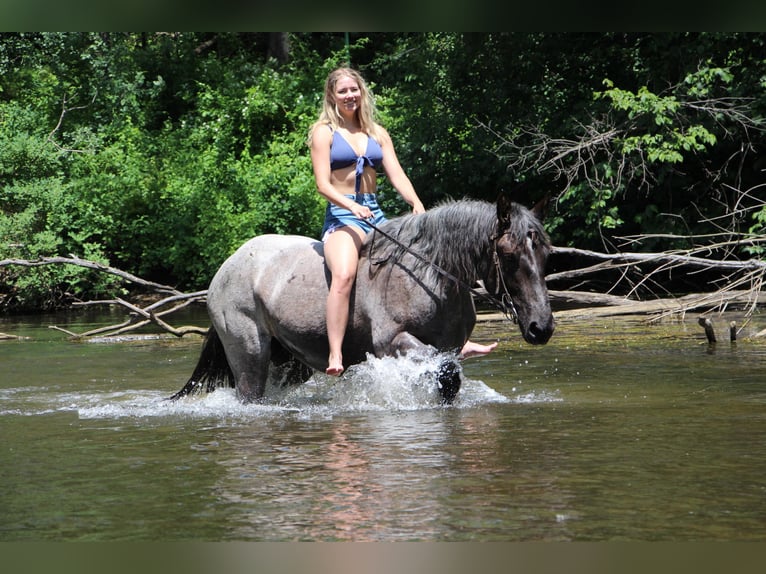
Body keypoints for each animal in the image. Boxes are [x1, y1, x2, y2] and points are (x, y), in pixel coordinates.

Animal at [172, 197, 560, 404]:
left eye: (546, 253)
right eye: (508, 256)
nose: (541, 327)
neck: (428, 273)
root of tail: (226, 267)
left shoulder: (448, 347)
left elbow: (449, 380)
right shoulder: (393, 342)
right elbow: (445, 372)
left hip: (289, 362)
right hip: (249, 354)